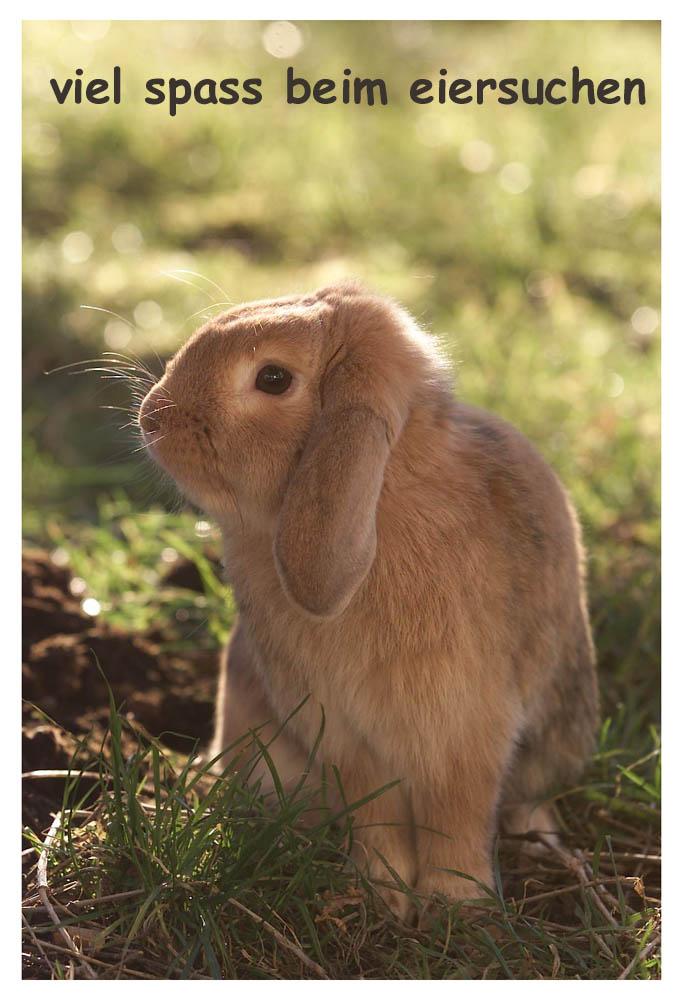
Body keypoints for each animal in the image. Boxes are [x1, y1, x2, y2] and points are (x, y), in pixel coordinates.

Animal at [139, 282, 600, 920]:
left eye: (273, 378)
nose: (151, 418)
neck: (386, 496)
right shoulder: (343, 736)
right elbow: (375, 815)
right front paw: (382, 893)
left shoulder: (465, 730)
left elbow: (455, 816)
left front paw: (457, 906)